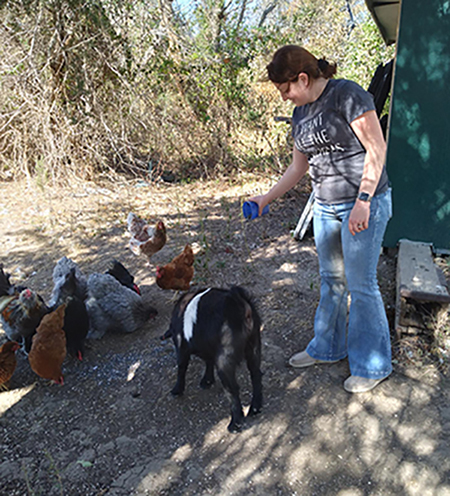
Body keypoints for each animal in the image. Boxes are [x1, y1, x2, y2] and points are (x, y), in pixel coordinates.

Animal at [164, 284, 264, 432]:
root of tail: (238, 304)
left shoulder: (181, 349)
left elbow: (181, 369)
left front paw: (177, 390)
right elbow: (208, 361)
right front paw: (207, 380)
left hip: (224, 364)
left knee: (233, 391)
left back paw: (235, 423)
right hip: (254, 348)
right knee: (256, 375)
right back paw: (255, 407)